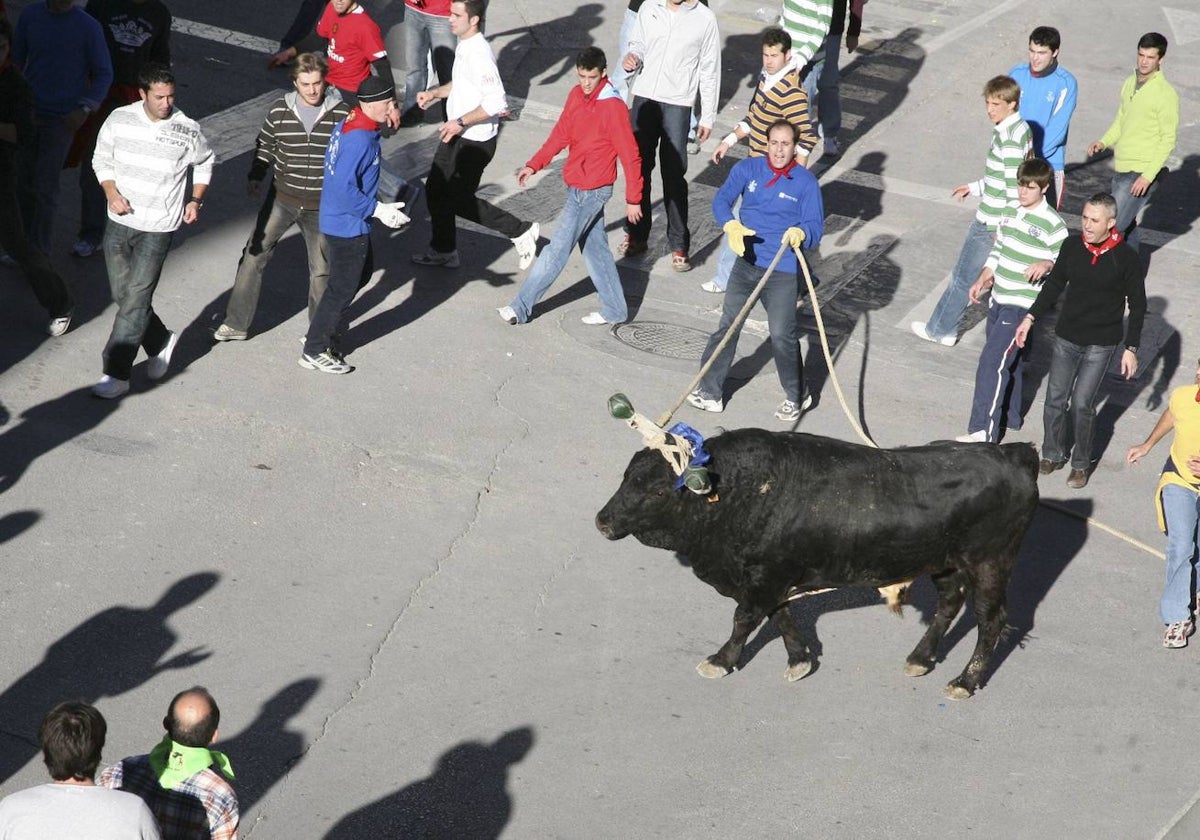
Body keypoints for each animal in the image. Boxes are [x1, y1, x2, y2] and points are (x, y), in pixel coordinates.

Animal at [597, 429, 1041, 700]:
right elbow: (780, 615)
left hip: (990, 564)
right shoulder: (769, 579)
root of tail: (1010, 454)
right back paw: (920, 659)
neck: (744, 491)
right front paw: (800, 660)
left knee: (990, 619)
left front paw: (720, 661)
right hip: (943, 563)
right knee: (949, 603)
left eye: (657, 491)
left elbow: (745, 619)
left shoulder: (763, 578)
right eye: (626, 475)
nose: (603, 521)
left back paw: (965, 681)